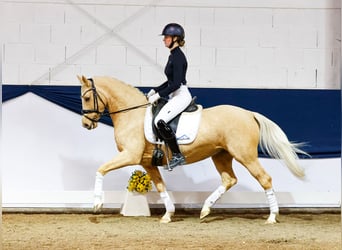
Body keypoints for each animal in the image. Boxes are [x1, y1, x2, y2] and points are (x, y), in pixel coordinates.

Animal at [79, 75, 306, 224]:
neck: (132, 114)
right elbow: (161, 187)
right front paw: (168, 214)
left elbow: (101, 169)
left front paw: (97, 204)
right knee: (229, 180)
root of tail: (249, 113)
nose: (85, 124)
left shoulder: (129, 155)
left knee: (264, 179)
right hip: (221, 155)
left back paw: (272, 217)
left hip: (245, 155)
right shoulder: (147, 162)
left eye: (87, 98)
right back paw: (205, 210)